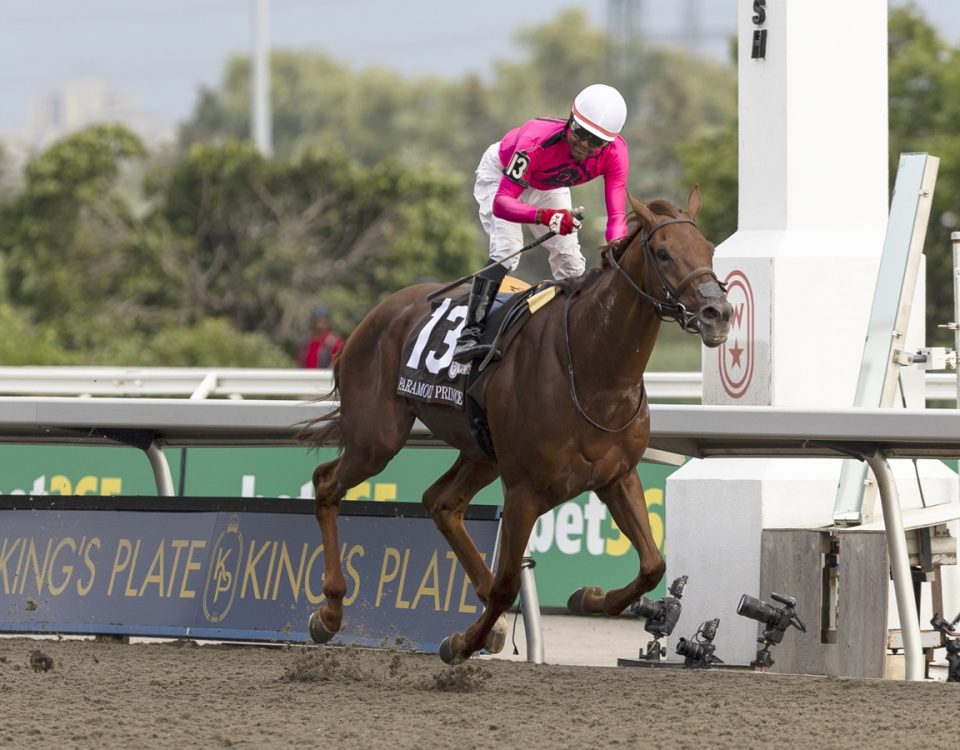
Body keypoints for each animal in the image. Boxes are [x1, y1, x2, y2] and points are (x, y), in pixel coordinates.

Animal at [304, 187, 732, 664]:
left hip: (480, 450)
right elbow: (507, 585)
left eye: (710, 249)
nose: (717, 313)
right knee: (327, 483)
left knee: (441, 502)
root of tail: (374, 316)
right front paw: (462, 641)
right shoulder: (524, 490)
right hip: (376, 438)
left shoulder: (617, 475)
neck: (592, 370)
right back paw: (330, 612)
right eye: (662, 252)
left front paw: (588, 597)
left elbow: (653, 565)